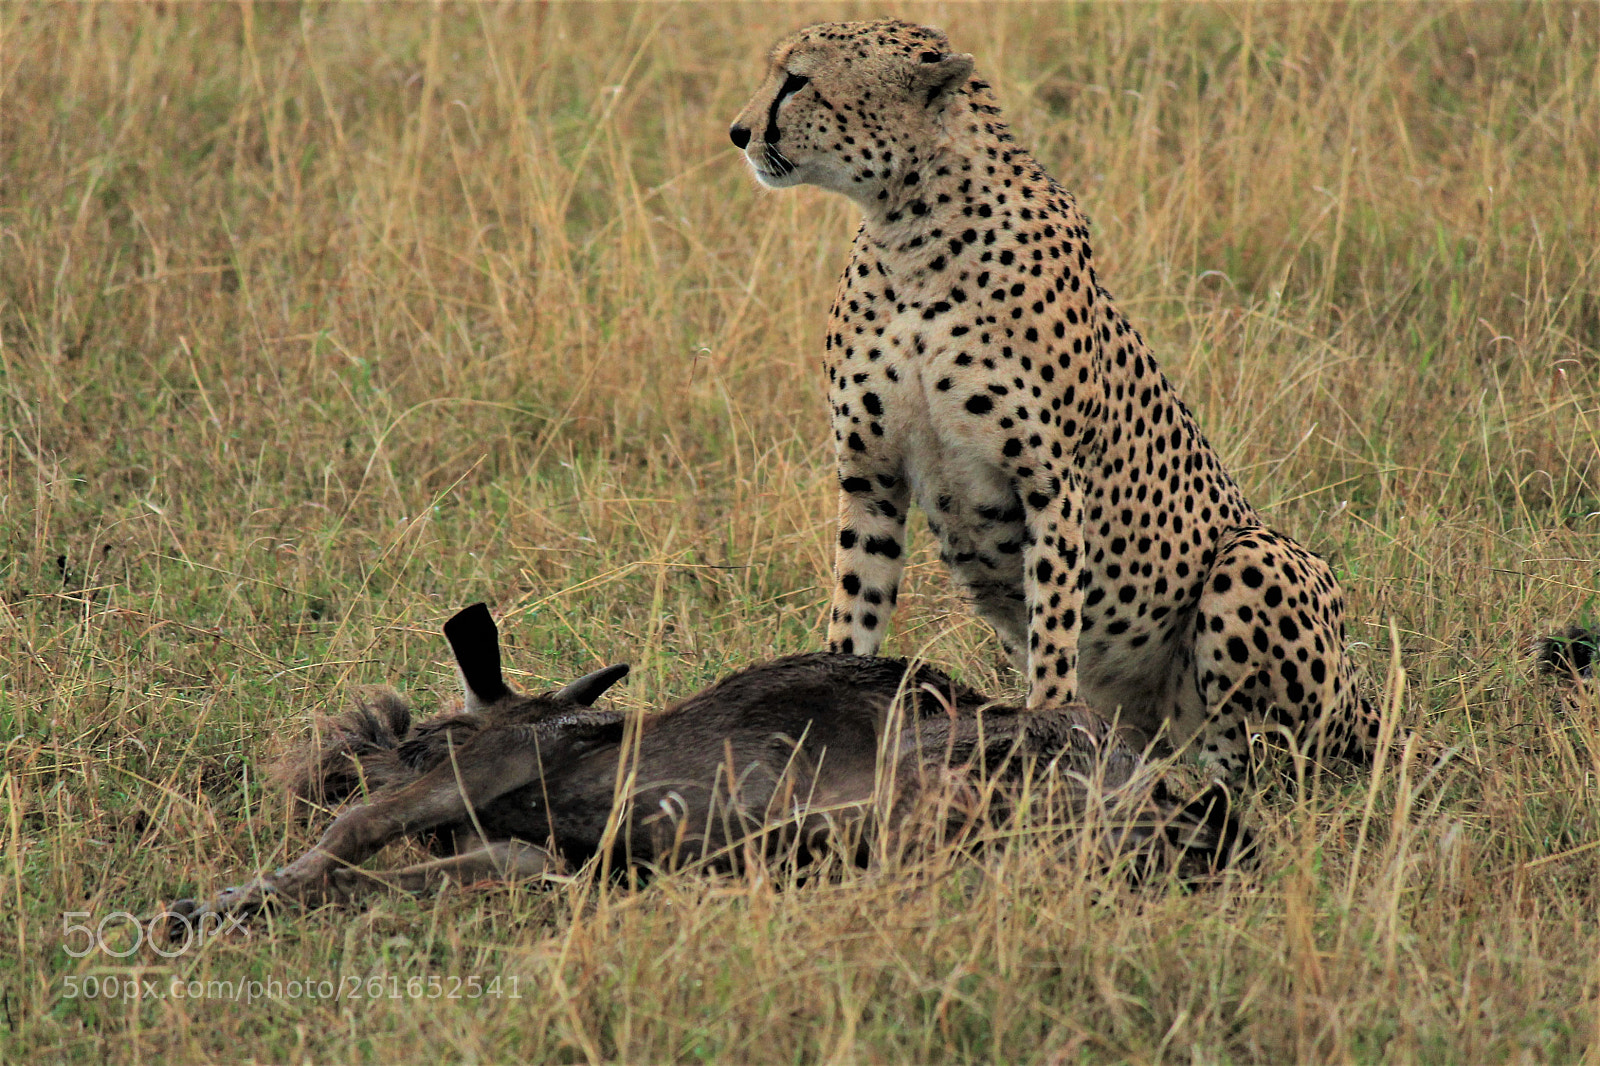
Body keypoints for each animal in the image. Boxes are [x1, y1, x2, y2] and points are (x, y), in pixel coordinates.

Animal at [729, 18, 1388, 779]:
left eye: (798, 80)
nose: (739, 132)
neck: (912, 228)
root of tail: (1366, 703)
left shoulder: (1049, 484)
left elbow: (1052, 633)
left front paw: (1044, 740)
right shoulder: (871, 479)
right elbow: (855, 609)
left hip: (1258, 559)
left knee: (1263, 765)